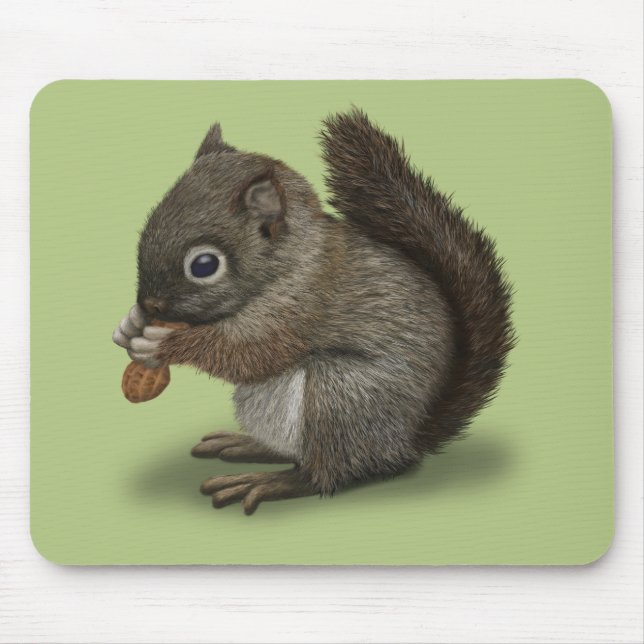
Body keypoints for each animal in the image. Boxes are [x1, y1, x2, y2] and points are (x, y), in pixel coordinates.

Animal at [112, 108, 515, 515]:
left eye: (205, 265)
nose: (150, 305)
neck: (291, 263)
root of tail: (407, 441)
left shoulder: (299, 309)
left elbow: (245, 355)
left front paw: (161, 344)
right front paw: (129, 326)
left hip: (343, 398)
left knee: (324, 474)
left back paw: (266, 482)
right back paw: (246, 444)